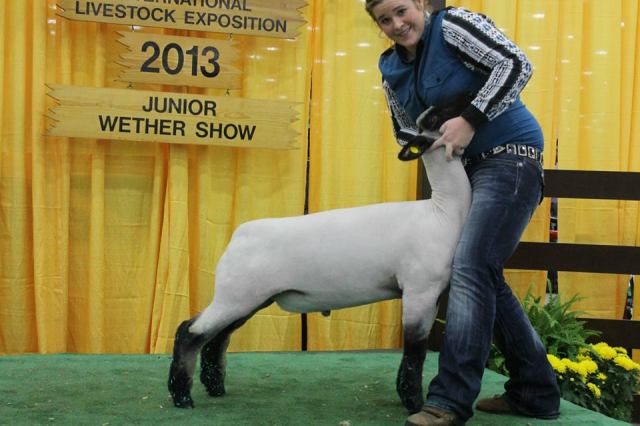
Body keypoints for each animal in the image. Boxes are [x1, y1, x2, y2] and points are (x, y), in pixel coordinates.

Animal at [167, 97, 472, 414]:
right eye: (438, 115)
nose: (468, 102)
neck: (442, 211)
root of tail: (238, 236)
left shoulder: (432, 296)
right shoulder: (419, 290)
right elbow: (415, 351)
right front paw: (414, 403)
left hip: (247, 300)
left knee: (217, 340)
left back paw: (215, 388)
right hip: (235, 297)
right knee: (189, 333)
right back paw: (182, 397)